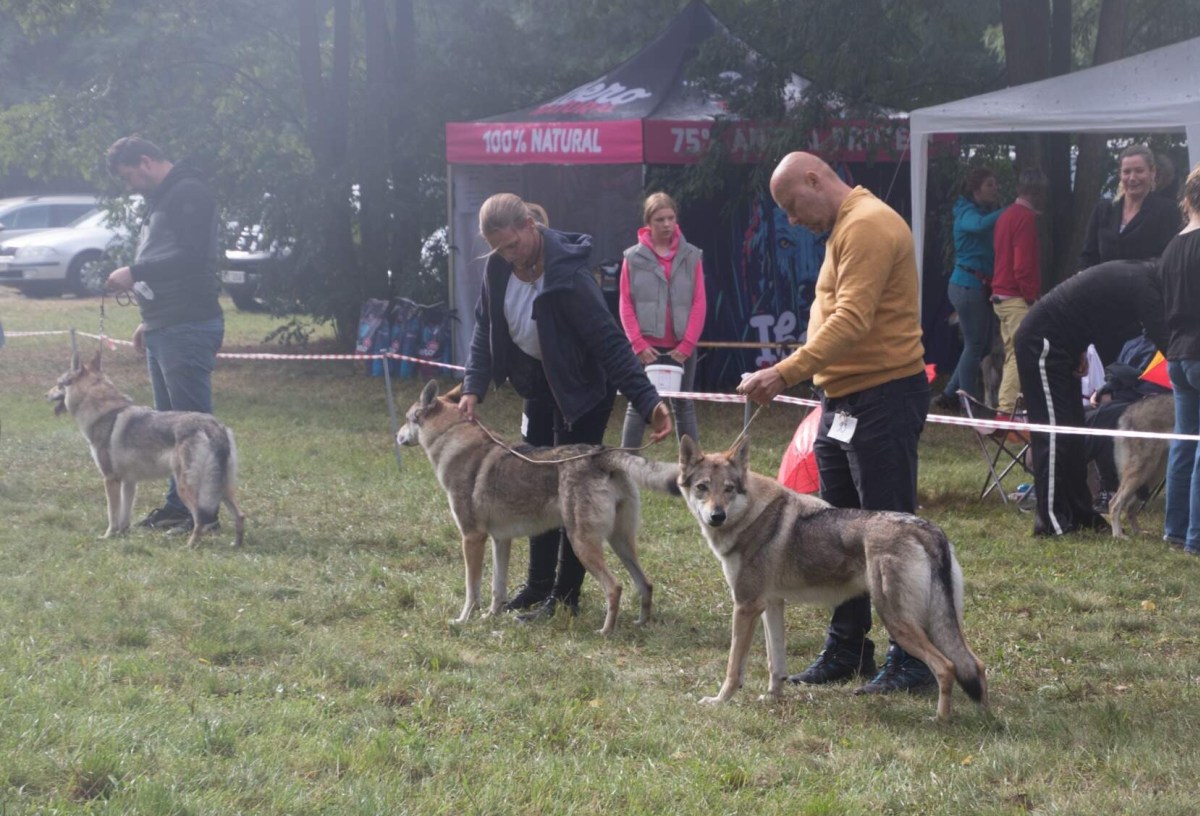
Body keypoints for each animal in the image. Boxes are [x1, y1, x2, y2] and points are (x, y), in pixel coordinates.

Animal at [46, 348, 243, 544]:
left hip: (188, 487)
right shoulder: (129, 481)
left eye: (59, 384)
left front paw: (107, 536)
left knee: (200, 519)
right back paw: (236, 544)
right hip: (222, 487)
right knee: (240, 515)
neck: (104, 412)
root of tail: (214, 427)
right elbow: (124, 515)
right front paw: (122, 534)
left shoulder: (110, 479)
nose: (45, 394)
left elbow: (112, 514)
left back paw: (189, 545)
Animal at [393, 379, 676, 633]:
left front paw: (463, 621)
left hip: (582, 543)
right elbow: (497, 588)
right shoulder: (500, 540)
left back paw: (605, 632)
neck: (451, 437)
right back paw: (642, 624)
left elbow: (471, 590)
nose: (396, 436)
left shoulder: (472, 537)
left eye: (406, 418)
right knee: (646, 584)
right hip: (620, 542)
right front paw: (491, 617)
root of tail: (602, 453)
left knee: (615, 587)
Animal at [681, 436, 988, 715]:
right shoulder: (771, 604)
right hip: (936, 623)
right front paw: (772, 699)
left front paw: (719, 701)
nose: (717, 516)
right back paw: (986, 719)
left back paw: (940, 720)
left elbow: (734, 667)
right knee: (976, 665)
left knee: (946, 667)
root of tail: (925, 528)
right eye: (702, 488)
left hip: (898, 621)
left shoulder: (745, 606)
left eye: (729, 489)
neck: (752, 515)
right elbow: (775, 663)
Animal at [1104, 393, 1171, 537]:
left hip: (1153, 474)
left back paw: (1139, 533)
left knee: (1129, 507)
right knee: (1114, 503)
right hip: (1143, 471)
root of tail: (1128, 412)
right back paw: (1118, 535)